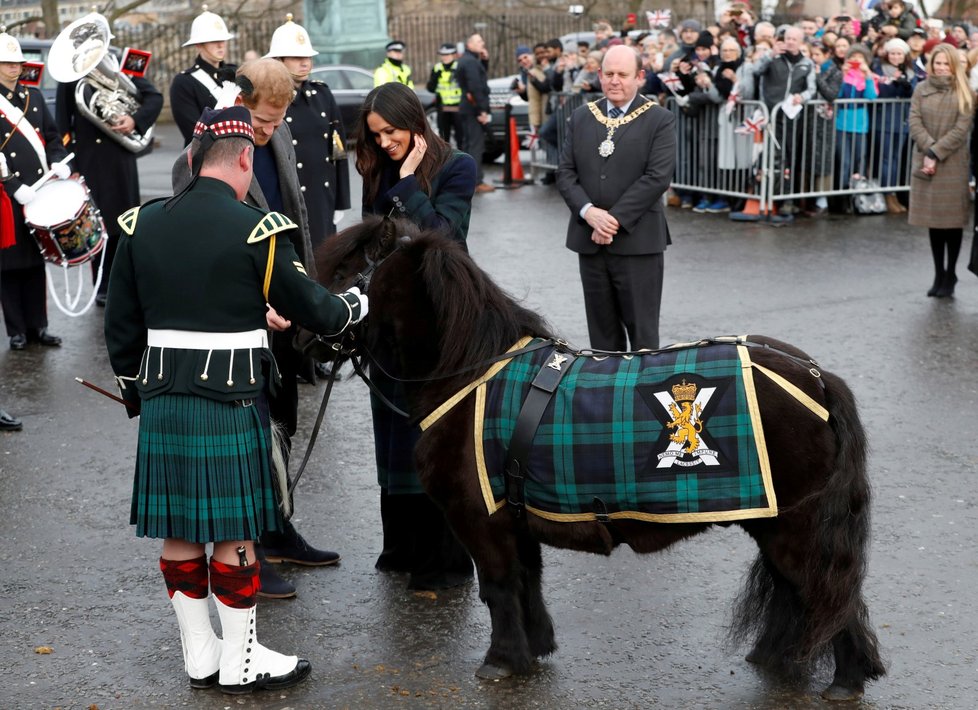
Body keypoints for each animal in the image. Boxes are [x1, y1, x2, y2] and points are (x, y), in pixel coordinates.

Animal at [314, 216, 884, 700]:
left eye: (344, 272)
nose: (300, 338)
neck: (471, 373)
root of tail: (815, 376)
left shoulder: (482, 520)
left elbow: (498, 587)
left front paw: (502, 660)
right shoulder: (517, 515)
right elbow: (526, 581)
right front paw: (535, 647)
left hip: (795, 527)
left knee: (828, 593)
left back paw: (847, 680)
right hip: (776, 525)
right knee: (804, 591)